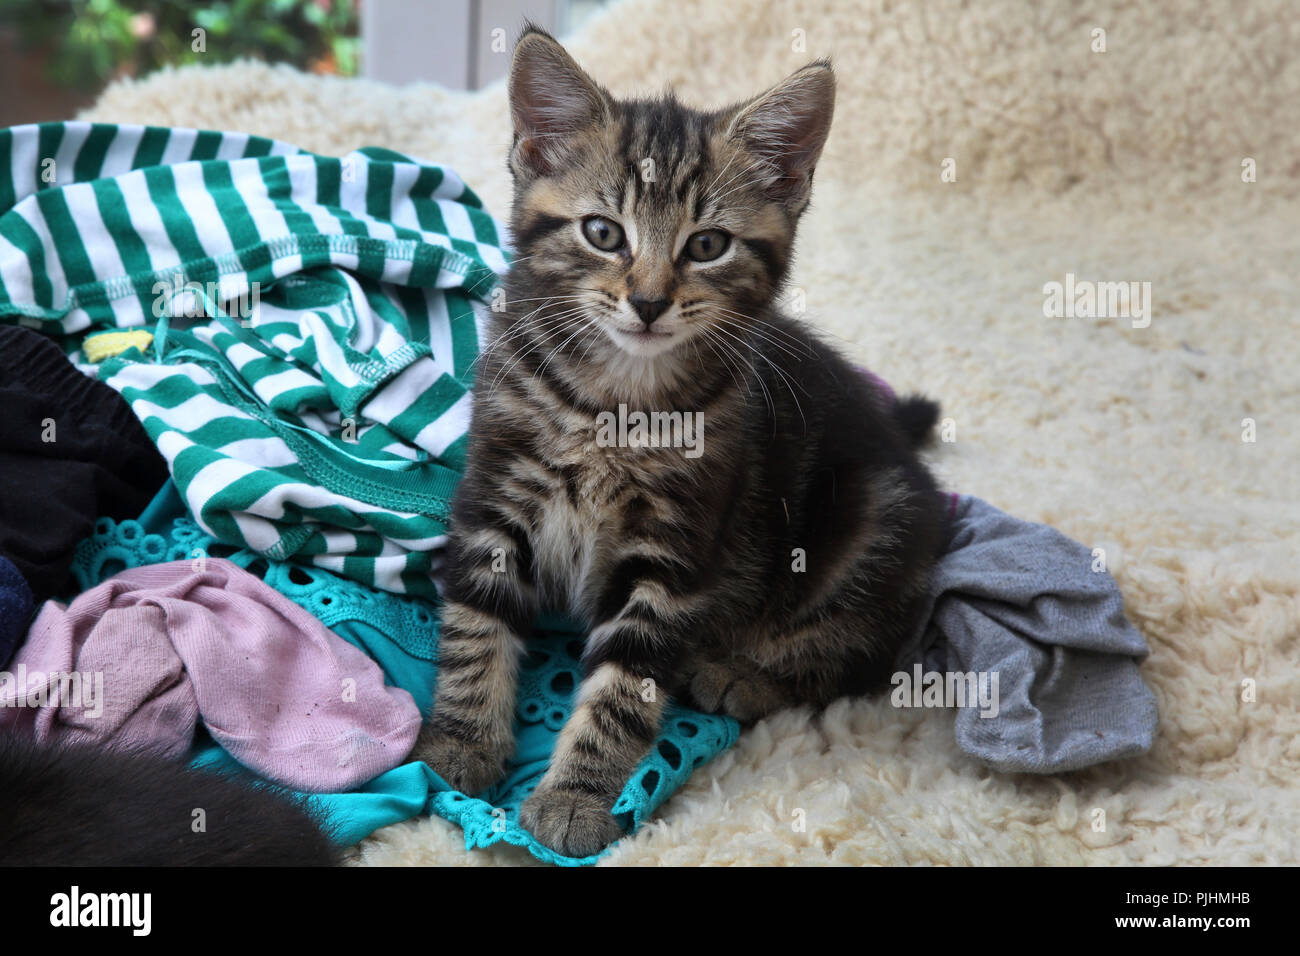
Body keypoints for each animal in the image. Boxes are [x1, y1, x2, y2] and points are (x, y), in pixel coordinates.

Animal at [416, 26, 946, 858]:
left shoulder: (674, 550)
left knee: (867, 652)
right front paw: (463, 741)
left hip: (869, 519)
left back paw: (743, 672)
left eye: (708, 244)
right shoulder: (495, 498)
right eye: (603, 233)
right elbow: (476, 630)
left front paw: (574, 797)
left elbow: (624, 688)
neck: (613, 402)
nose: (648, 300)